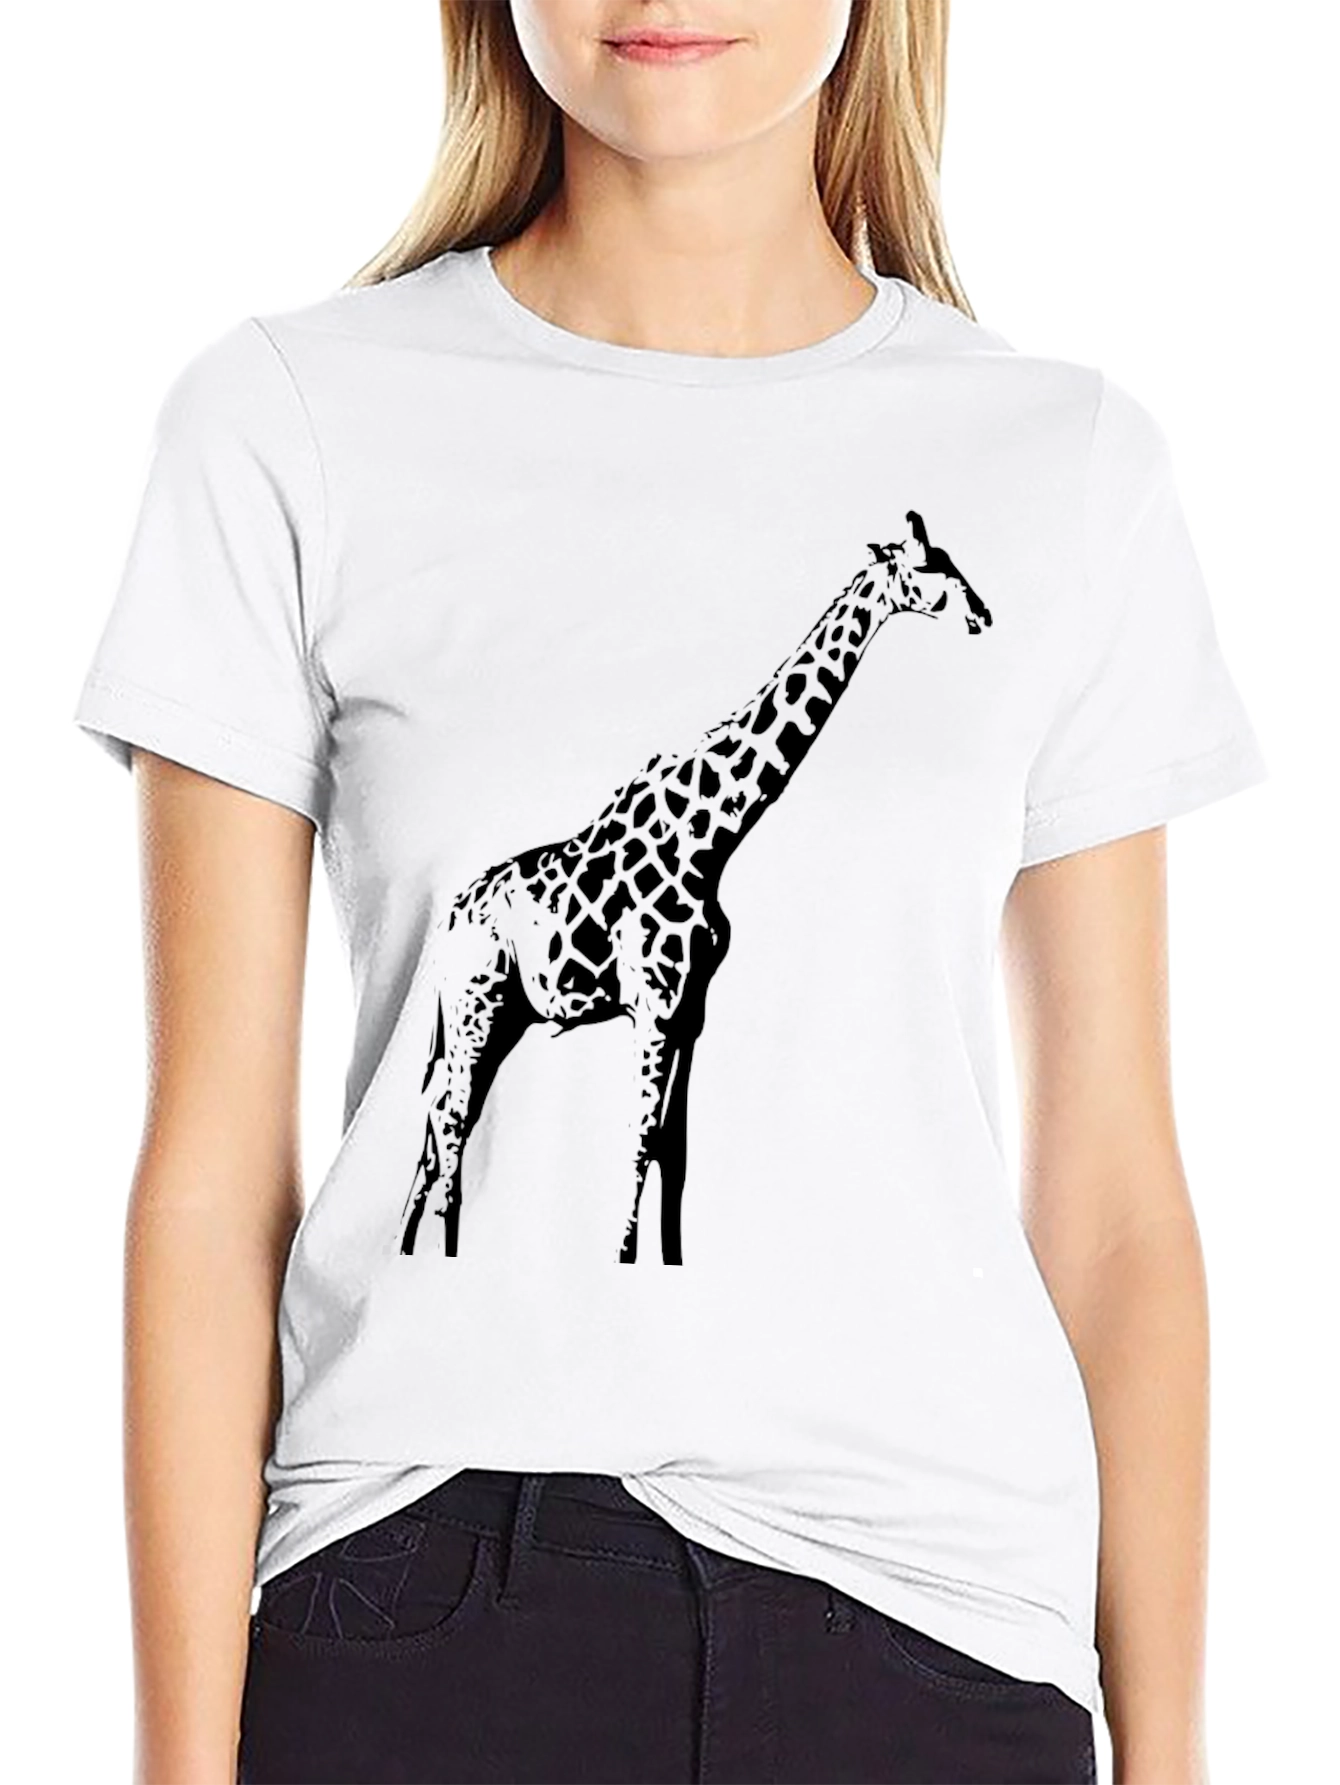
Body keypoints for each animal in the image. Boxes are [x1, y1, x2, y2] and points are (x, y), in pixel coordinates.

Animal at [398, 513, 992, 1264]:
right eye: (930, 566)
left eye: (949, 558)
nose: (983, 615)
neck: (711, 839)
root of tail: (449, 920)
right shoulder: (652, 1003)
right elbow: (641, 1138)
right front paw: (622, 1257)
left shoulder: (691, 1007)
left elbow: (674, 1150)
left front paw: (668, 1259)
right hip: (477, 1003)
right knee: (450, 1119)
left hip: (501, 1015)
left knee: (436, 1118)